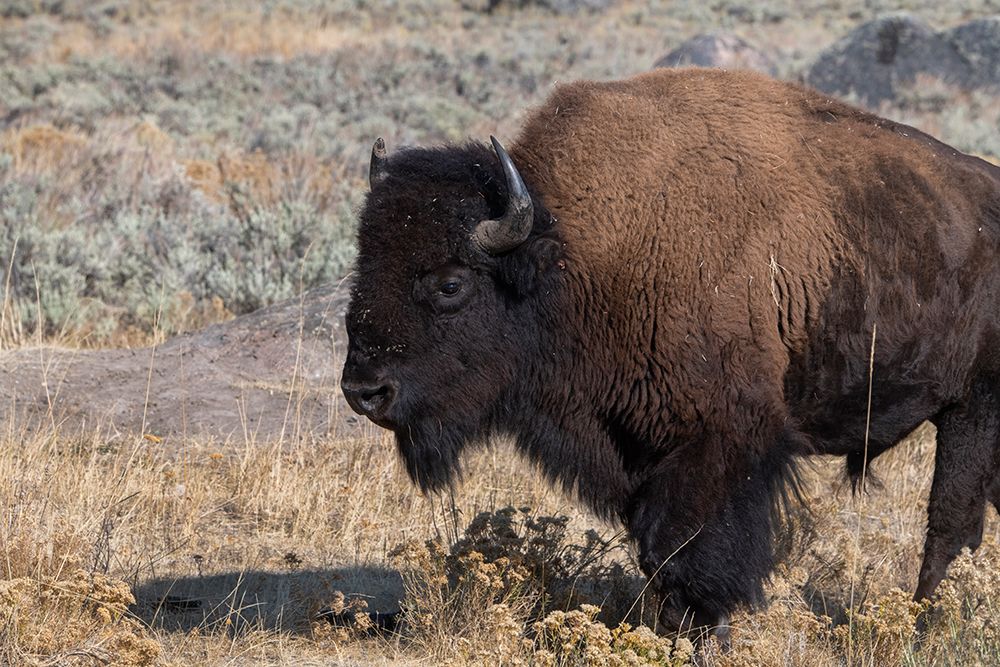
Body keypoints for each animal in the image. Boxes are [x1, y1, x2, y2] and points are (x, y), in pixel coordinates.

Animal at [341, 68, 1000, 637]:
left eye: (451, 284)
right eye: (361, 265)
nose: (363, 390)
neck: (575, 253)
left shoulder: (721, 440)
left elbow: (685, 546)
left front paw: (705, 632)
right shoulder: (633, 446)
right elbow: (655, 545)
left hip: (971, 409)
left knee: (950, 521)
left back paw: (924, 622)